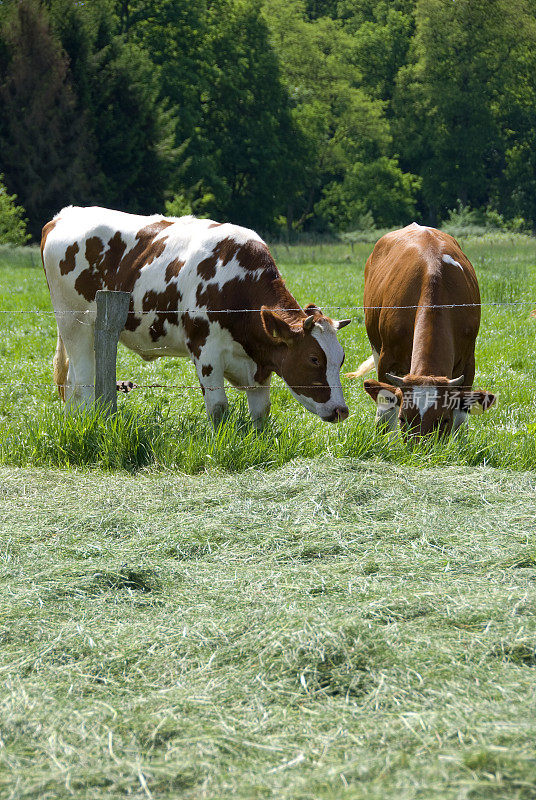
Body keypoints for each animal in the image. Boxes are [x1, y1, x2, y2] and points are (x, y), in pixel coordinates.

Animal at [42, 209, 352, 428]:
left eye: (341, 359)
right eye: (314, 359)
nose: (341, 410)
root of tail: (63, 216)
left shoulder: (259, 364)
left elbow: (261, 412)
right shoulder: (206, 353)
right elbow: (218, 408)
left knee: (70, 383)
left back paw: (74, 422)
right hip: (74, 322)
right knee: (82, 383)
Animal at [348, 222, 494, 438]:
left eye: (443, 421)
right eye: (403, 419)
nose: (422, 449)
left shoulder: (469, 361)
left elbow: (461, 418)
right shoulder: (386, 359)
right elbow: (386, 410)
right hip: (375, 345)